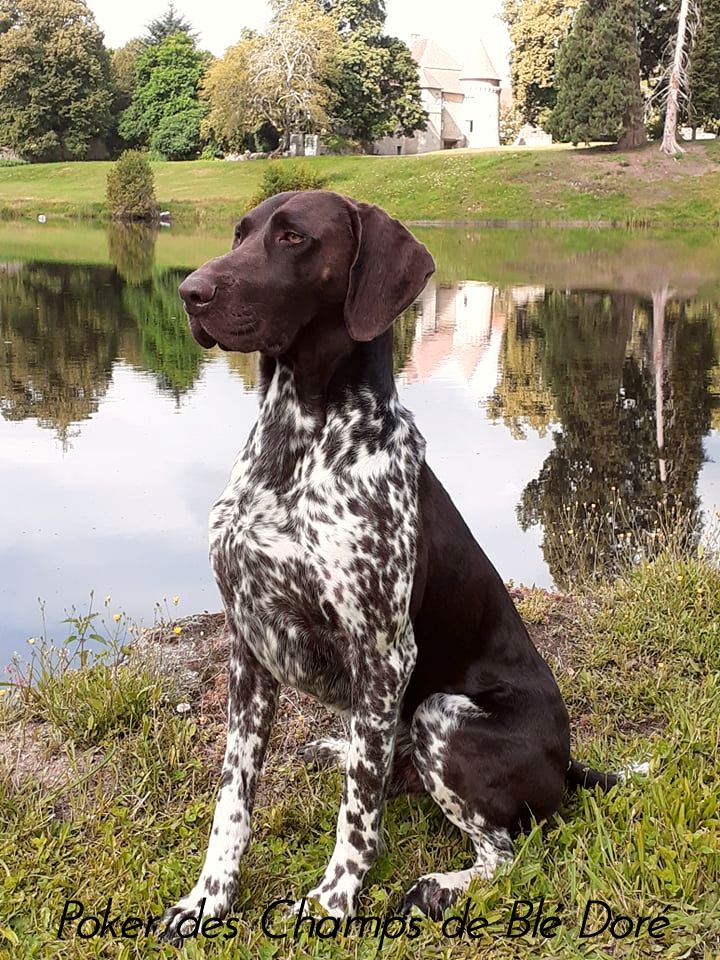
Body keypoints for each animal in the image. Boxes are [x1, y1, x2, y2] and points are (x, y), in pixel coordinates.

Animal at [161, 189, 624, 938]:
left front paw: (334, 900)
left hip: (440, 715)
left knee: (507, 852)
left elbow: (358, 815)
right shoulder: (248, 645)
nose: (190, 293)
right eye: (240, 233)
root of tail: (567, 763)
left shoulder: (382, 651)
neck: (298, 447)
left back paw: (437, 885)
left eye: (293, 237)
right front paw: (210, 895)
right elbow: (233, 797)